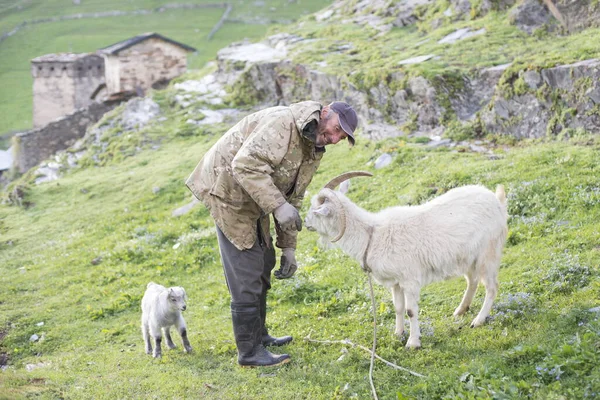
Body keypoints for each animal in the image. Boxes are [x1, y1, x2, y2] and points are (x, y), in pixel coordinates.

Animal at [304, 173, 506, 348]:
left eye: (315, 210)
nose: (304, 222)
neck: (372, 235)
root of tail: (497, 201)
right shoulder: (396, 282)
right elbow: (398, 308)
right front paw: (398, 334)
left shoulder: (410, 279)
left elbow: (410, 310)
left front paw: (413, 343)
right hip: (468, 257)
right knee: (472, 281)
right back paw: (460, 310)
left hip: (488, 253)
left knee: (491, 287)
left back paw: (478, 320)